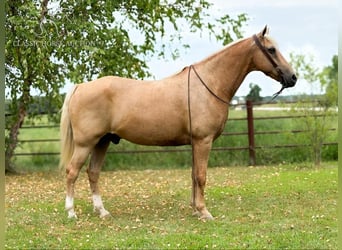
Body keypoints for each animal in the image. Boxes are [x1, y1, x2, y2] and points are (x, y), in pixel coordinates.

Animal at [59, 26, 296, 220]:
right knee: (72, 172)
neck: (208, 84)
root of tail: (80, 86)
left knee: (93, 173)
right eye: (271, 50)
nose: (293, 77)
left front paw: (195, 209)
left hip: (103, 141)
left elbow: (193, 175)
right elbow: (201, 176)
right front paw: (204, 211)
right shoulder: (203, 141)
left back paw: (102, 211)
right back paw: (71, 212)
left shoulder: (195, 143)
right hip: (86, 143)